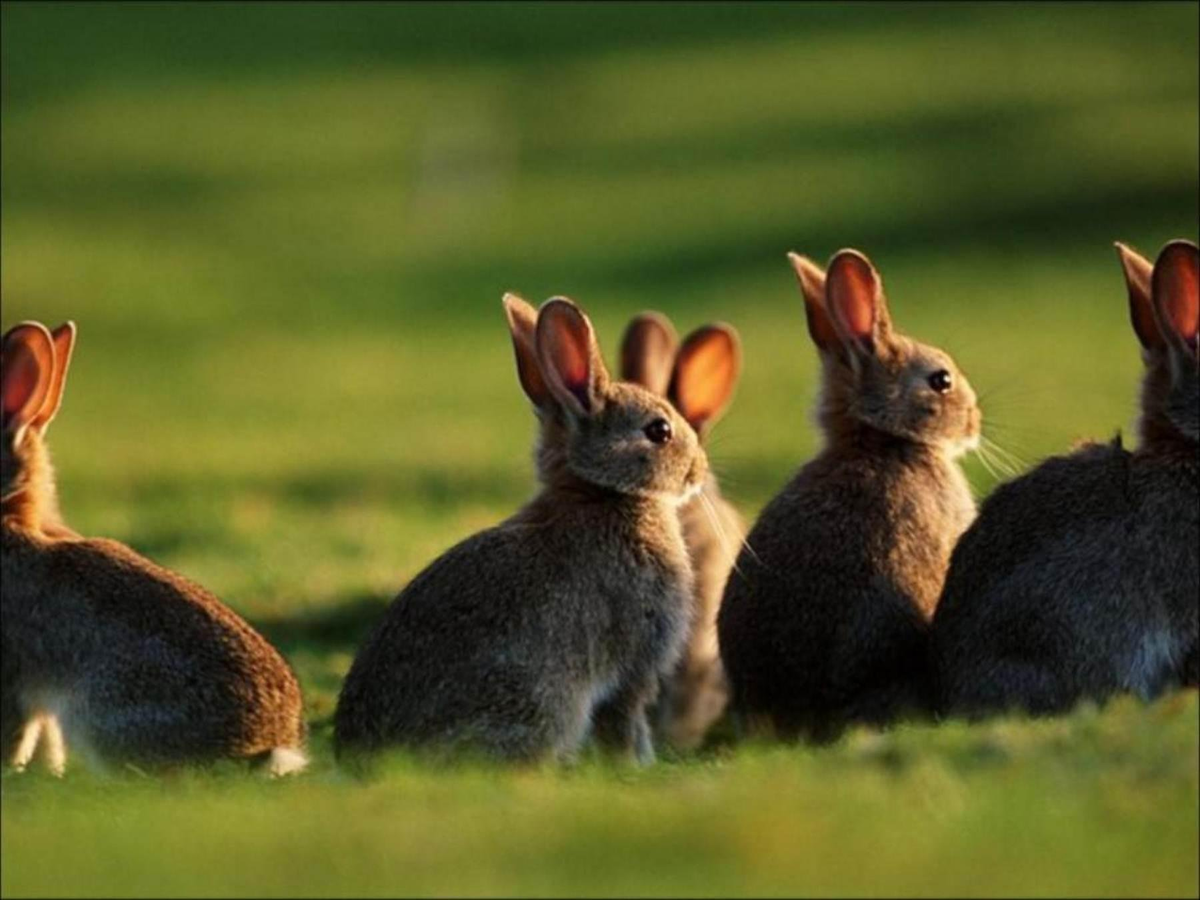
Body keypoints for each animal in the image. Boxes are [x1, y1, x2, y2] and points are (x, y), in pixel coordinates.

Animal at [333, 296, 705, 768]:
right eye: (659, 430)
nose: (699, 470)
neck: (607, 493)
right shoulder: (633, 666)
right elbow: (625, 723)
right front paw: (638, 766)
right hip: (537, 702)